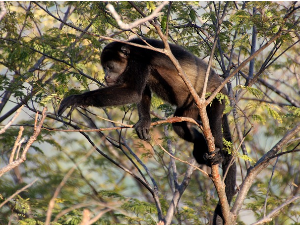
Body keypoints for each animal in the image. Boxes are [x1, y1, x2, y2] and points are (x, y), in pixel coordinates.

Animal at [58, 37, 237, 224]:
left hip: (216, 98)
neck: (129, 52)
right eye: (104, 67)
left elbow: (132, 92)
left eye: (110, 66)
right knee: (180, 126)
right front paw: (144, 122)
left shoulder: (139, 60)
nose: (106, 76)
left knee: (215, 123)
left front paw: (77, 99)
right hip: (191, 108)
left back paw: (218, 152)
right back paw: (201, 146)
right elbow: (142, 92)